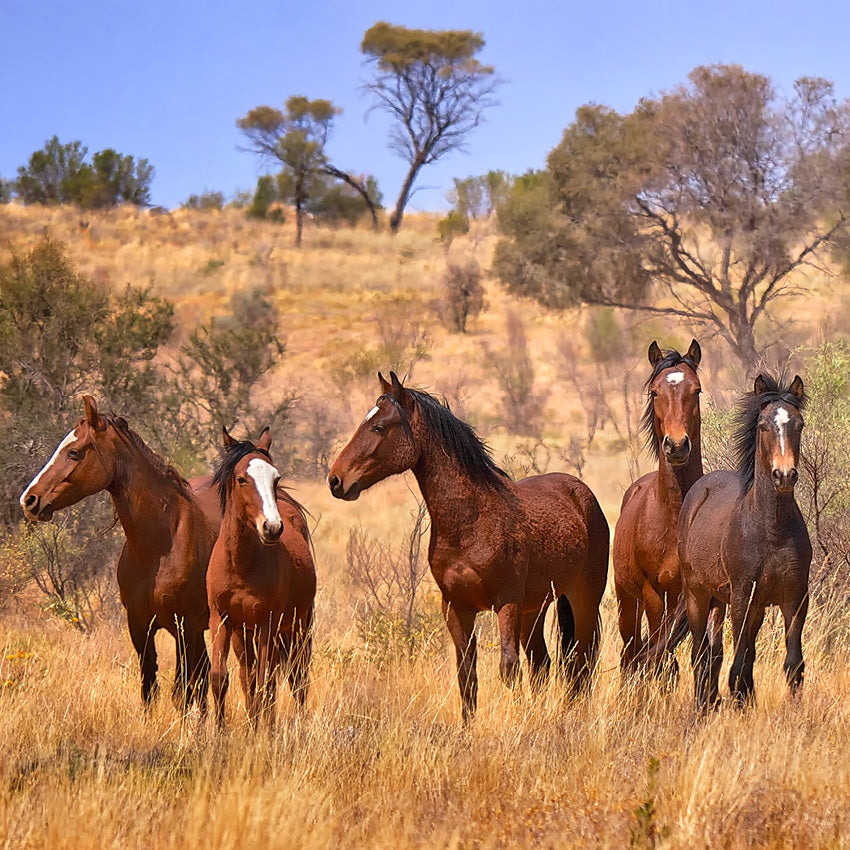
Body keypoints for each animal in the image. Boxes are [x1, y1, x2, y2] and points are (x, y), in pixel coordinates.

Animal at [19, 396, 215, 712]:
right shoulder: (140, 624)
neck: (161, 545)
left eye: (74, 452)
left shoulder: (185, 625)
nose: (29, 500)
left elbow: (183, 691)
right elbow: (150, 686)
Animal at [207, 427, 315, 729]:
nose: (272, 527)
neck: (241, 566)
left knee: (297, 678)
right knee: (250, 675)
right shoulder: (222, 620)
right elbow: (221, 679)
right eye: (242, 479)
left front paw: (265, 731)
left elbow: (268, 680)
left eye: (275, 478)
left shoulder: (269, 623)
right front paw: (220, 732)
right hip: (244, 633)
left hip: (299, 626)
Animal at [328, 372, 609, 724]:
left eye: (379, 427)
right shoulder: (456, 607)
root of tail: (582, 494)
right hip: (536, 608)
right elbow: (467, 674)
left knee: (581, 660)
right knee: (543, 664)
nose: (335, 480)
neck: (471, 520)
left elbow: (508, 669)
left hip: (582, 599)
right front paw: (470, 727)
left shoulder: (506, 603)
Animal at [613, 340, 703, 676]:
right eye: (654, 392)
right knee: (630, 651)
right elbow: (659, 655)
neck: (674, 515)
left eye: (697, 390)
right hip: (628, 602)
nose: (676, 446)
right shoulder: (654, 594)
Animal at [678, 373, 811, 711]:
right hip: (697, 596)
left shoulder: (794, 598)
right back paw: (702, 705)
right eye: (763, 425)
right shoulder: (742, 597)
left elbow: (793, 664)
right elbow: (738, 664)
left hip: (741, 605)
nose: (784, 475)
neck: (771, 529)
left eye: (799, 424)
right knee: (700, 653)